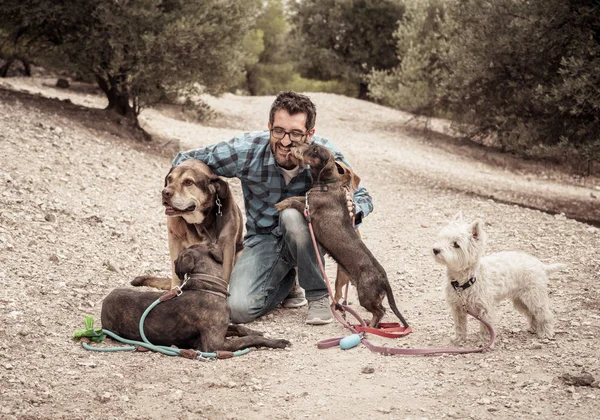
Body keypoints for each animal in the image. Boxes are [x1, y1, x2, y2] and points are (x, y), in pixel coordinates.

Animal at [101, 243, 290, 354]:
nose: (174, 262)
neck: (207, 285)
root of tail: (105, 301)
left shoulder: (221, 328)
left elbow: (239, 328)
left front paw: (255, 331)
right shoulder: (215, 344)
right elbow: (248, 339)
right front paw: (276, 341)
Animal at [132, 159, 243, 290]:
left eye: (188, 182)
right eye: (169, 178)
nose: (165, 192)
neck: (199, 221)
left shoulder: (227, 246)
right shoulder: (175, 240)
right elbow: (176, 275)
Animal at [276, 144, 408, 328]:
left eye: (315, 150)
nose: (294, 146)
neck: (326, 186)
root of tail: (384, 279)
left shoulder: (309, 211)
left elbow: (294, 201)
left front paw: (281, 204)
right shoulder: (307, 201)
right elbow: (298, 196)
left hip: (365, 295)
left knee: (380, 311)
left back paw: (370, 326)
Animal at [432, 212, 568, 342]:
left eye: (456, 244)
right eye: (442, 238)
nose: (435, 249)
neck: (465, 281)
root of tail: (541, 265)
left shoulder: (485, 310)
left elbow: (486, 328)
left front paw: (485, 342)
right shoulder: (457, 308)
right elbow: (460, 325)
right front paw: (459, 339)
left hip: (534, 298)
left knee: (545, 314)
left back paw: (546, 333)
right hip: (520, 301)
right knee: (532, 314)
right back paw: (533, 328)